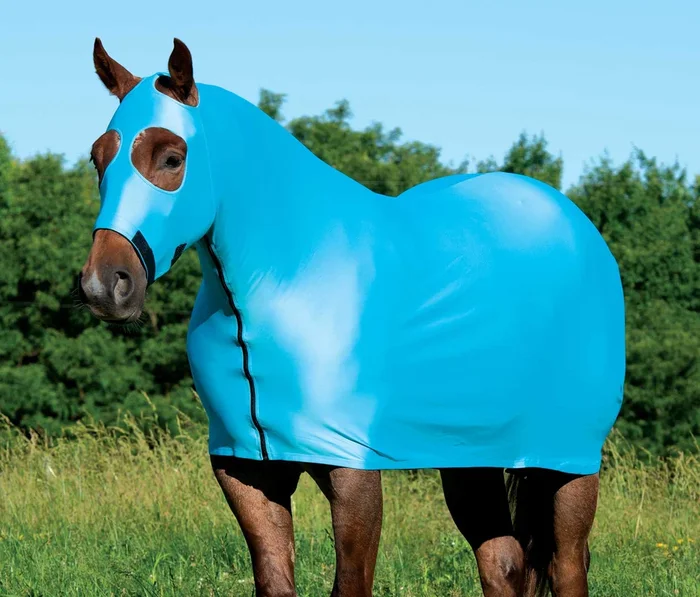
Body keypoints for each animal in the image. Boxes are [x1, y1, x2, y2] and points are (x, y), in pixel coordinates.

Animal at [78, 38, 625, 597]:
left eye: (172, 157)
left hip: (569, 462)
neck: (291, 275)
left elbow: (350, 582)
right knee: (504, 562)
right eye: (98, 159)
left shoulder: (352, 472)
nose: (105, 286)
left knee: (566, 563)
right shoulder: (245, 470)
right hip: (471, 458)